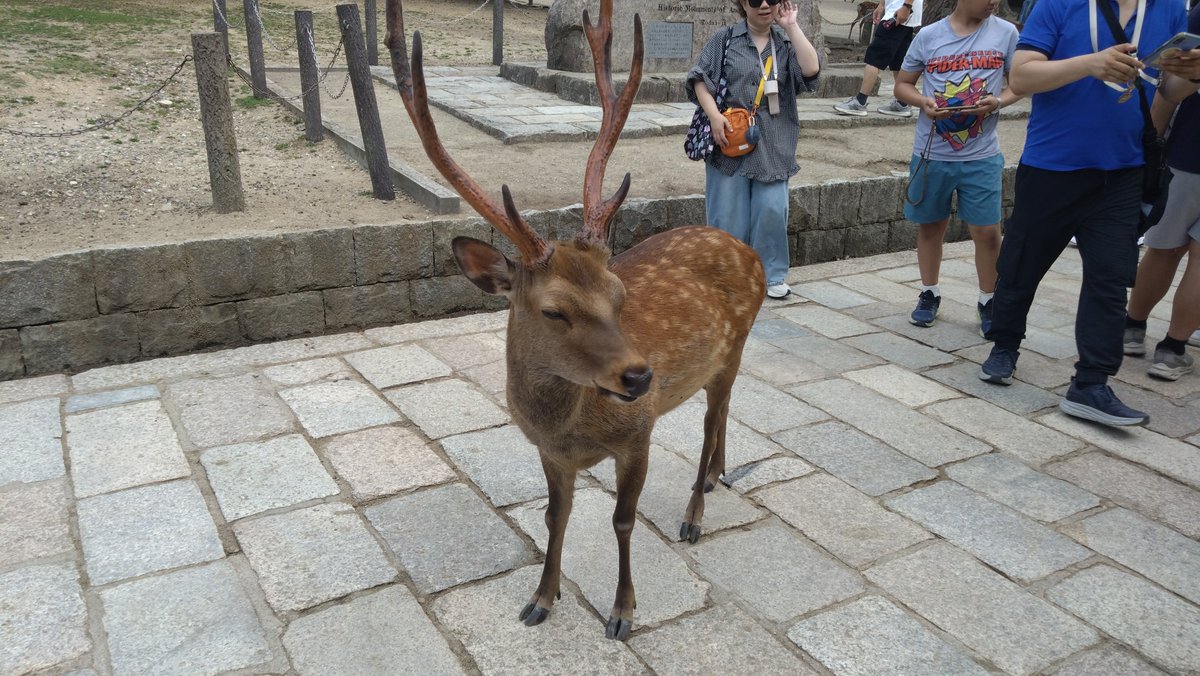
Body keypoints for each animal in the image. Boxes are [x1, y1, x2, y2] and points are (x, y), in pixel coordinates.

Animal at [385, 0, 766, 641]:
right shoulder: (549, 452)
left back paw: (694, 514)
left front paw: (622, 612)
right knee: (724, 412)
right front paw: (541, 599)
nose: (641, 376)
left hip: (737, 344)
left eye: (619, 293)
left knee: (713, 419)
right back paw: (715, 475)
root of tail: (750, 250)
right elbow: (552, 516)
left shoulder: (638, 433)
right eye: (553, 310)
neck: (571, 427)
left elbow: (622, 521)